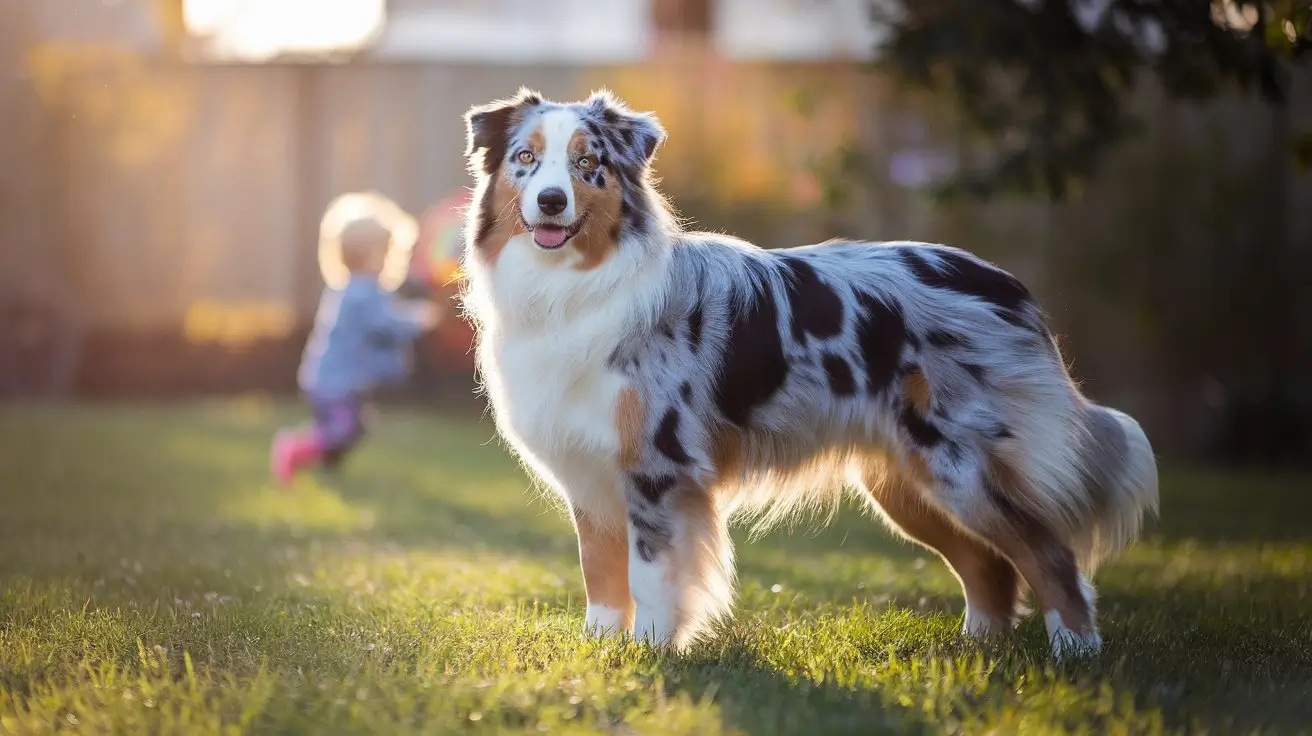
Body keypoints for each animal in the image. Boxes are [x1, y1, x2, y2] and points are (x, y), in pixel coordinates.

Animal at [456, 89, 1154, 655]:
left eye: (587, 164)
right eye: (525, 158)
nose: (551, 202)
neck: (571, 286)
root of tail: (1005, 283)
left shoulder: (658, 466)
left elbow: (652, 574)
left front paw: (651, 652)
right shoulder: (591, 472)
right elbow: (600, 574)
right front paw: (602, 652)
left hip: (962, 468)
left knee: (1049, 552)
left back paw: (1076, 652)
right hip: (906, 483)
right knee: (992, 567)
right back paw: (976, 651)